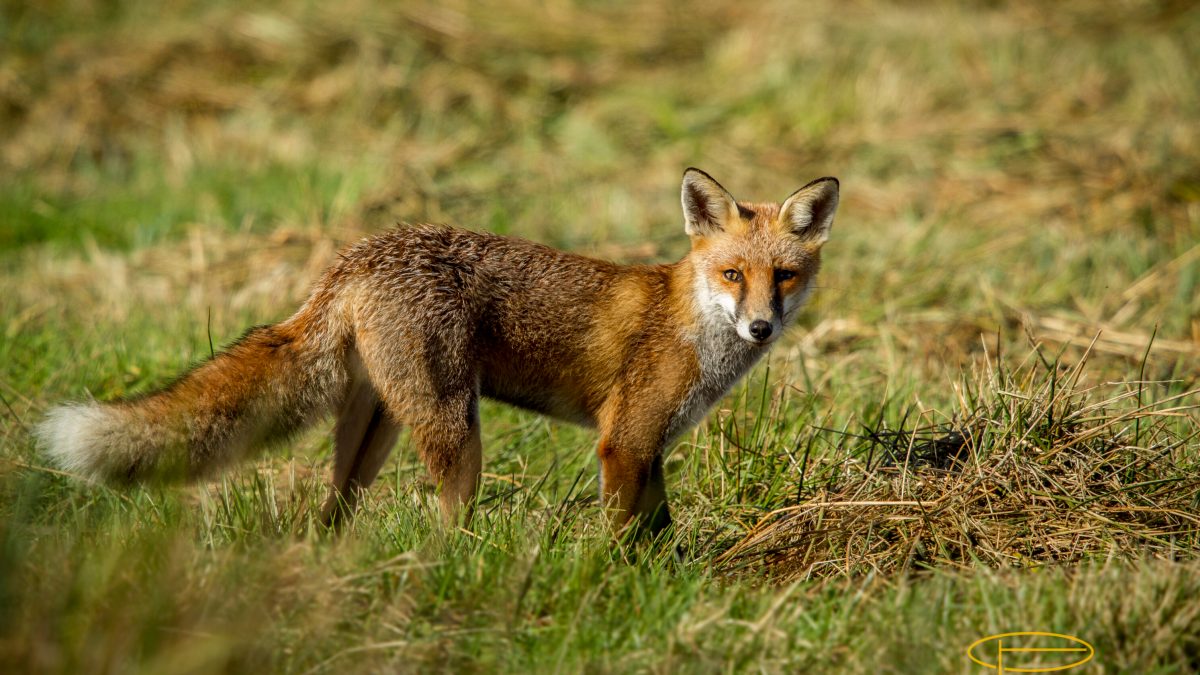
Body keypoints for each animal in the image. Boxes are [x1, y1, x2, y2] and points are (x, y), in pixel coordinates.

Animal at [38, 168, 839, 537]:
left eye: (783, 276)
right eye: (732, 274)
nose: (761, 329)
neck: (689, 317)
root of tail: (356, 255)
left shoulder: (650, 450)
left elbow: (660, 532)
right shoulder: (626, 441)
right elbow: (630, 540)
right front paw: (629, 589)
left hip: (375, 429)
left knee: (332, 515)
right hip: (456, 431)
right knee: (448, 528)